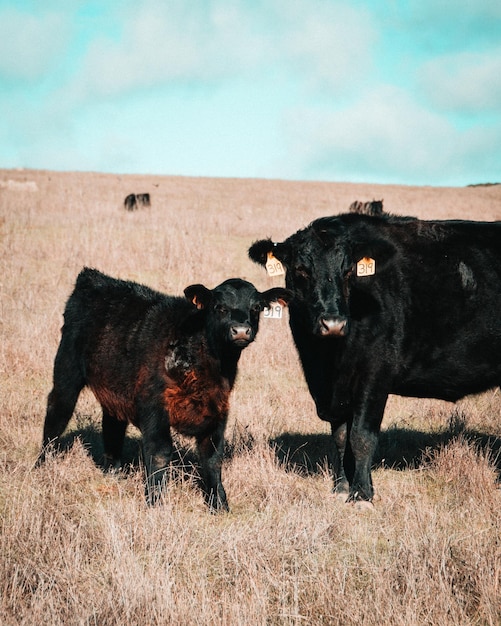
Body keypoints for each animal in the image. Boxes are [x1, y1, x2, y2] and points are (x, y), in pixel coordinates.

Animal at [39, 266, 292, 508]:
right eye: (219, 306)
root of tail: (92, 277)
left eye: (256, 307)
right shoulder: (154, 408)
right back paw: (42, 465)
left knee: (113, 424)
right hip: (67, 372)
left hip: (115, 387)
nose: (240, 330)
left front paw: (220, 504)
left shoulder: (218, 410)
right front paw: (156, 503)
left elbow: (212, 458)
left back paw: (114, 472)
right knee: (56, 415)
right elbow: (160, 453)